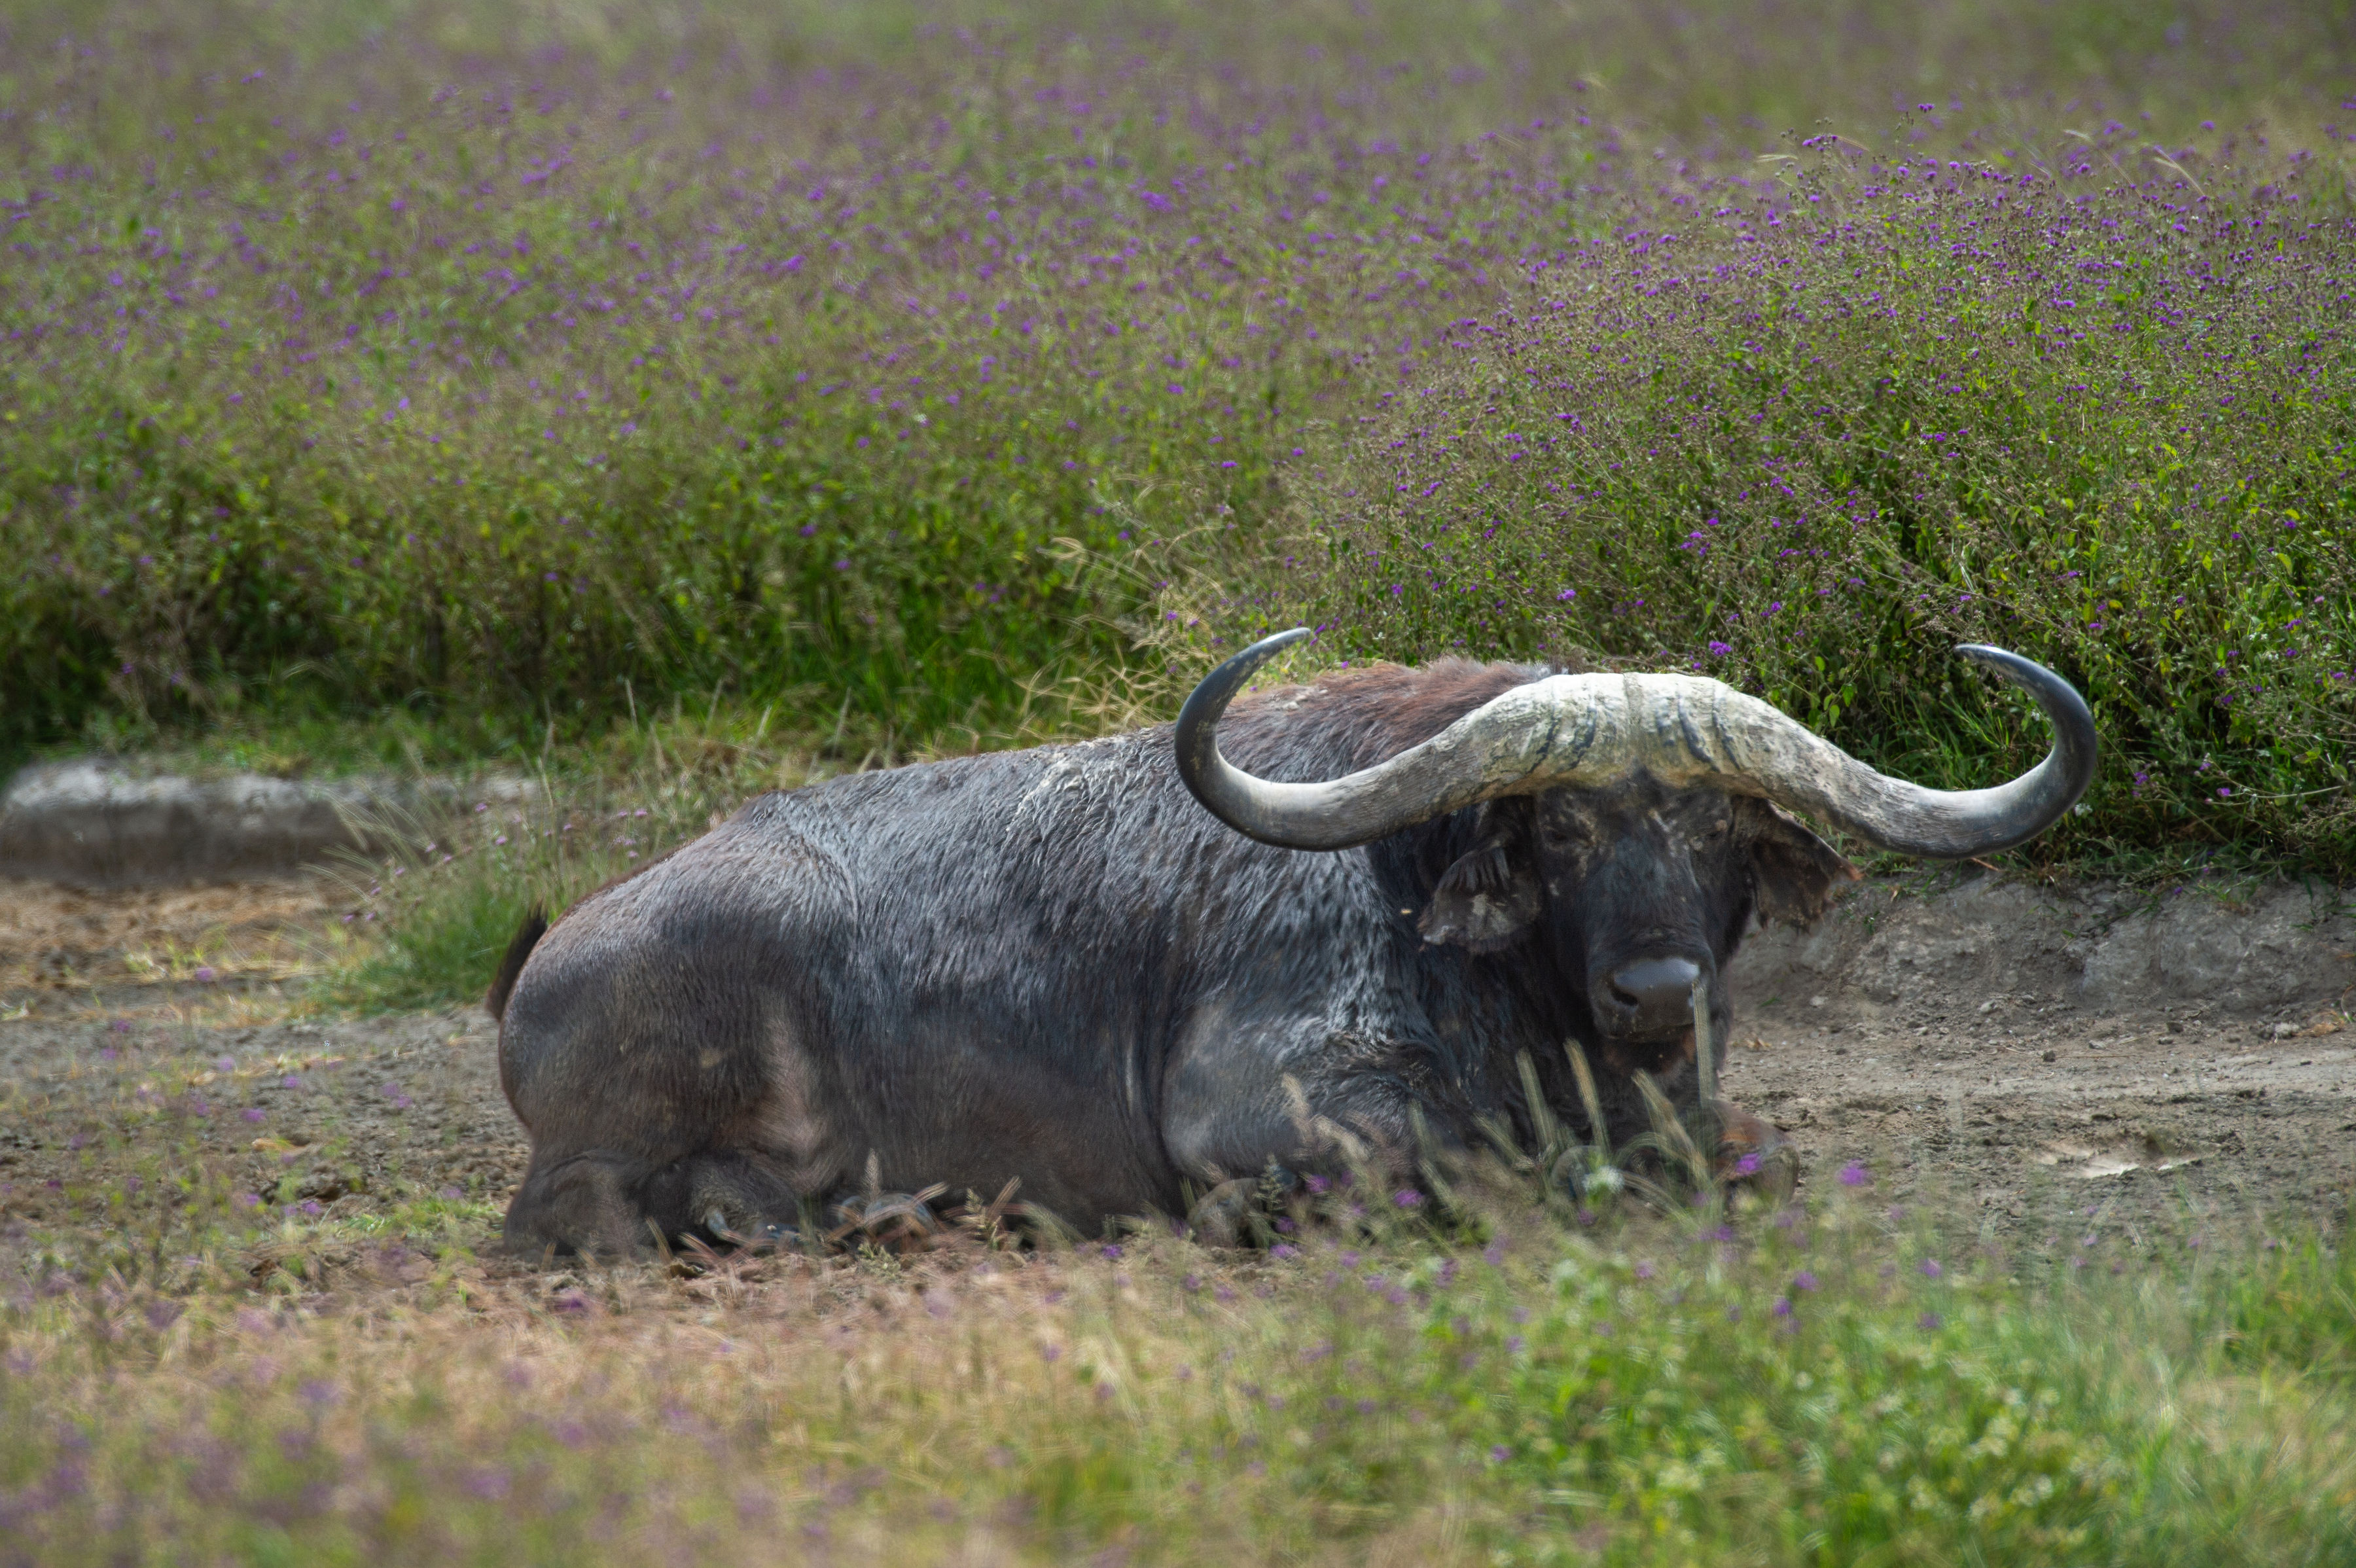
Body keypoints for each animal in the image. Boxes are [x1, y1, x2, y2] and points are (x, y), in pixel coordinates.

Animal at [489, 631, 2093, 1255]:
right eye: (1566, 830)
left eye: (1710, 827)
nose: (1657, 985)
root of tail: (552, 956)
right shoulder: (1261, 1106)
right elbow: (1451, 1168)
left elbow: (1752, 1153)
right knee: (585, 1212)